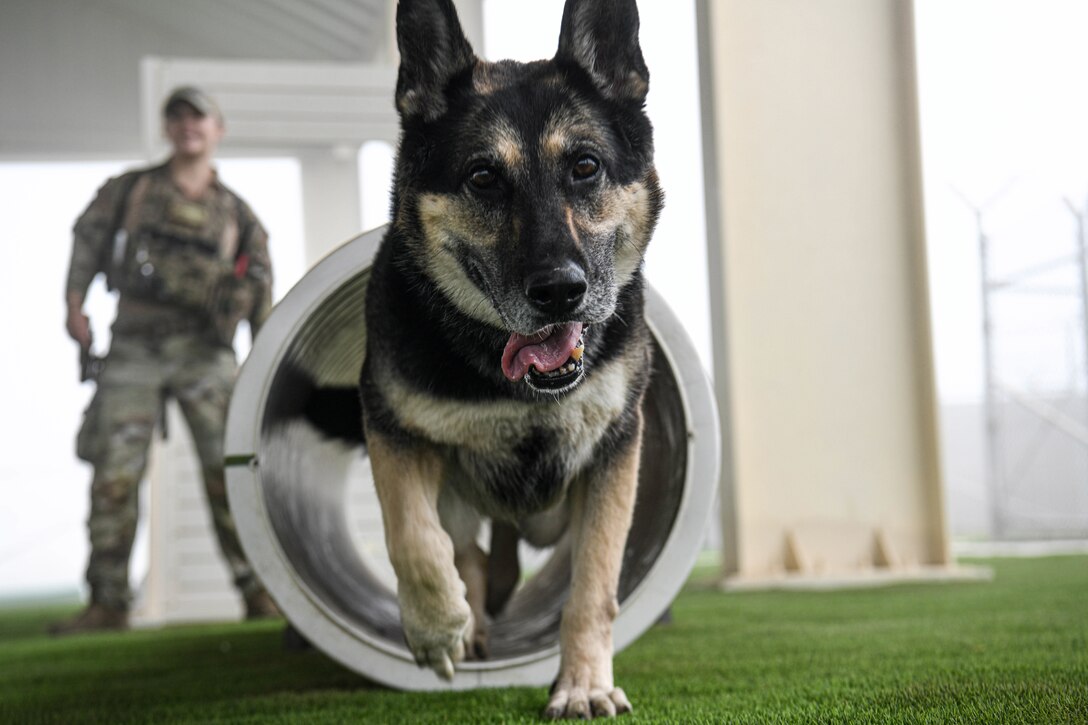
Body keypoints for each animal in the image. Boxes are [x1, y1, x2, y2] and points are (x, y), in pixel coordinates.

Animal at [361, 0, 657, 709]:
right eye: (483, 178)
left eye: (585, 166)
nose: (559, 292)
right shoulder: (391, 428)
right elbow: (412, 535)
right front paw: (438, 628)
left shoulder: (614, 453)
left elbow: (594, 586)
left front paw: (583, 684)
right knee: (461, 547)